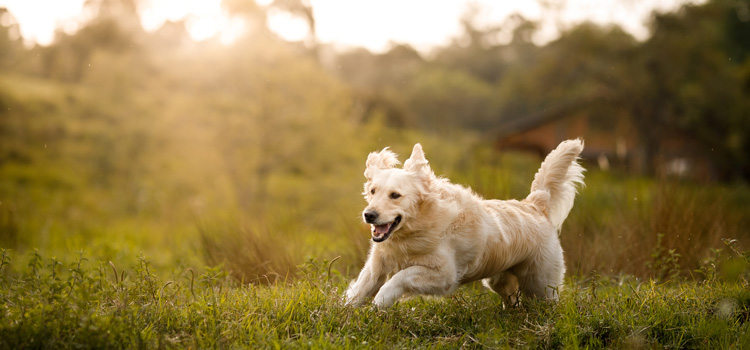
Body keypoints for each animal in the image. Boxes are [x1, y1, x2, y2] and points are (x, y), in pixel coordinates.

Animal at [346, 139, 588, 308]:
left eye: (395, 195)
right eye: (373, 191)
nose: (369, 215)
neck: (417, 227)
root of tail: (536, 203)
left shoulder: (444, 275)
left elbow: (400, 277)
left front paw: (381, 301)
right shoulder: (377, 265)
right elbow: (360, 288)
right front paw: (344, 313)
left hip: (540, 286)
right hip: (499, 280)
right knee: (512, 300)